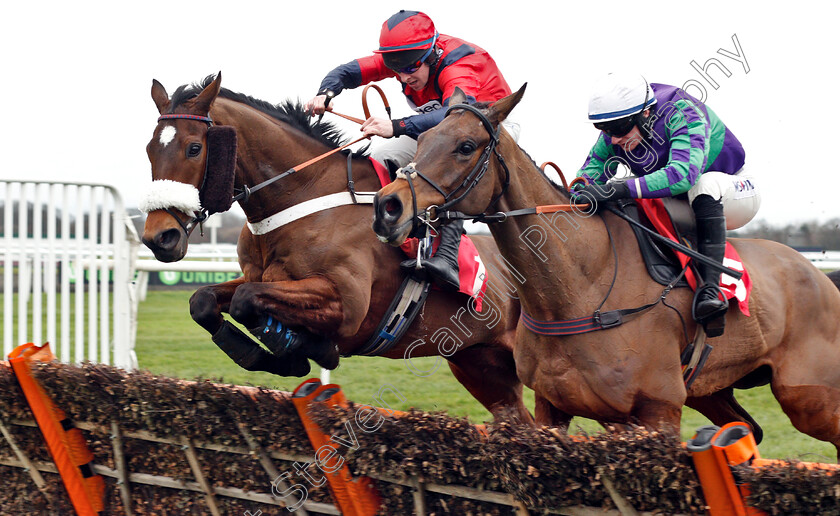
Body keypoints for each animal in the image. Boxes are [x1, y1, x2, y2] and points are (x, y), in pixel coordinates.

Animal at [138, 74, 532, 426]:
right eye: (149, 149)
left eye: (194, 148)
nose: (159, 237)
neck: (302, 197)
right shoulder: (259, 277)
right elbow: (203, 300)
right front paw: (274, 354)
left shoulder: (347, 305)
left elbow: (246, 301)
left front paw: (302, 351)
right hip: (481, 366)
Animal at [374, 83, 840, 452]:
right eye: (423, 139)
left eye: (466, 147)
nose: (387, 207)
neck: (581, 289)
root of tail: (820, 276)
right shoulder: (554, 408)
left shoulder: (658, 412)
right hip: (711, 389)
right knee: (747, 431)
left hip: (809, 397)